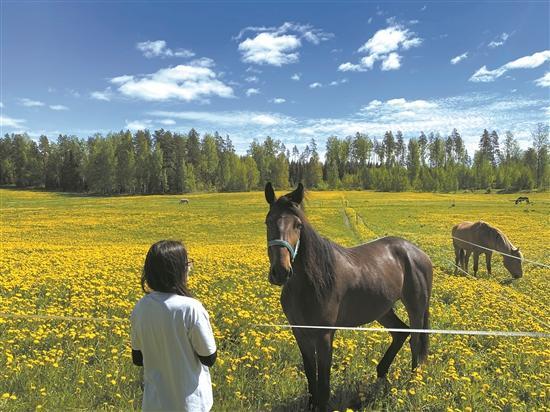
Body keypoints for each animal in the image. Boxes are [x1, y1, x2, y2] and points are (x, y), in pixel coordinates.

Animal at [266, 184, 434, 412]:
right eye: (268, 221)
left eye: (298, 225)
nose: (281, 272)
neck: (309, 284)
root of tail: (418, 253)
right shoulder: (300, 333)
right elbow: (310, 375)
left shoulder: (324, 335)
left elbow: (323, 382)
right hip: (381, 309)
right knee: (400, 333)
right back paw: (381, 372)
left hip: (416, 307)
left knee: (415, 342)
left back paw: (412, 385)